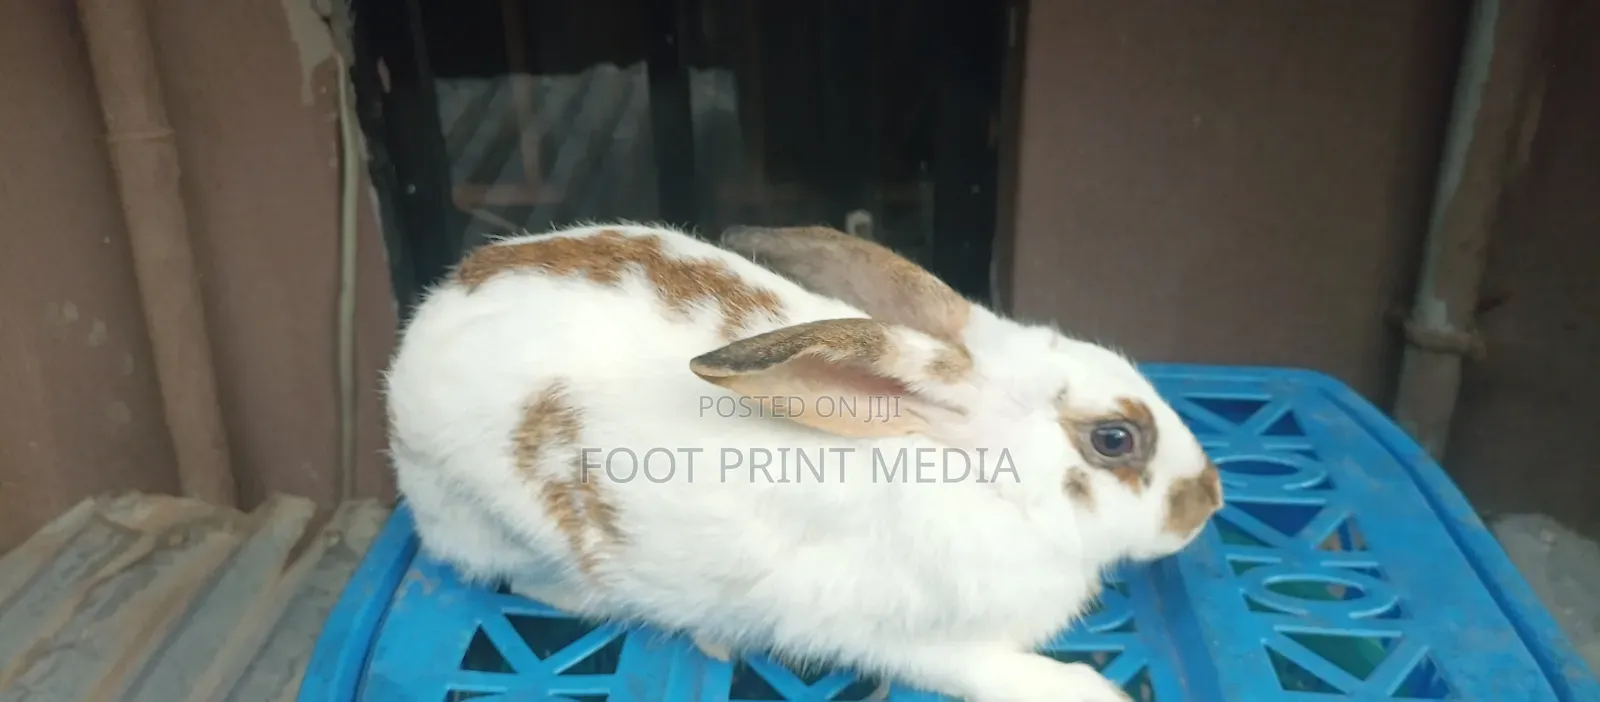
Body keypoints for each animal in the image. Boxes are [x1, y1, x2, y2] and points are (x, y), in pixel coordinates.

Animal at [382, 221, 1224, 702]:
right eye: (1114, 439)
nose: (1208, 501)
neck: (978, 479)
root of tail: (426, 322)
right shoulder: (912, 641)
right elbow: (1002, 675)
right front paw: (1098, 695)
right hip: (506, 530)